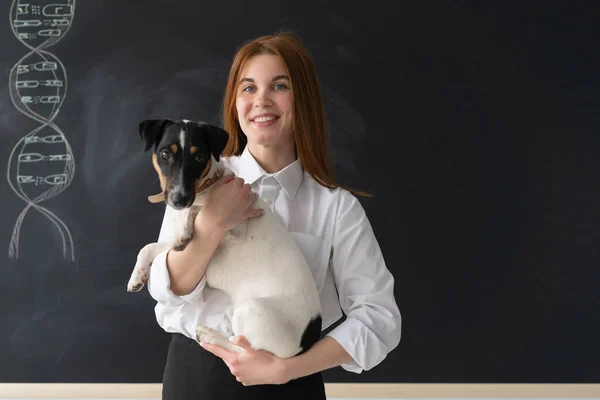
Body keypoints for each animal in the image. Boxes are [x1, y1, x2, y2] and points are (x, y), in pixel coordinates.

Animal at [127, 118, 324, 356]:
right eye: (165, 154)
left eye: (199, 158)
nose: (180, 199)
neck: (206, 187)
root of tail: (308, 339)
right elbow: (149, 247)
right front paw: (137, 276)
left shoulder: (236, 225)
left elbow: (199, 211)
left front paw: (185, 222)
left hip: (250, 310)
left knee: (242, 350)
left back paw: (210, 335)